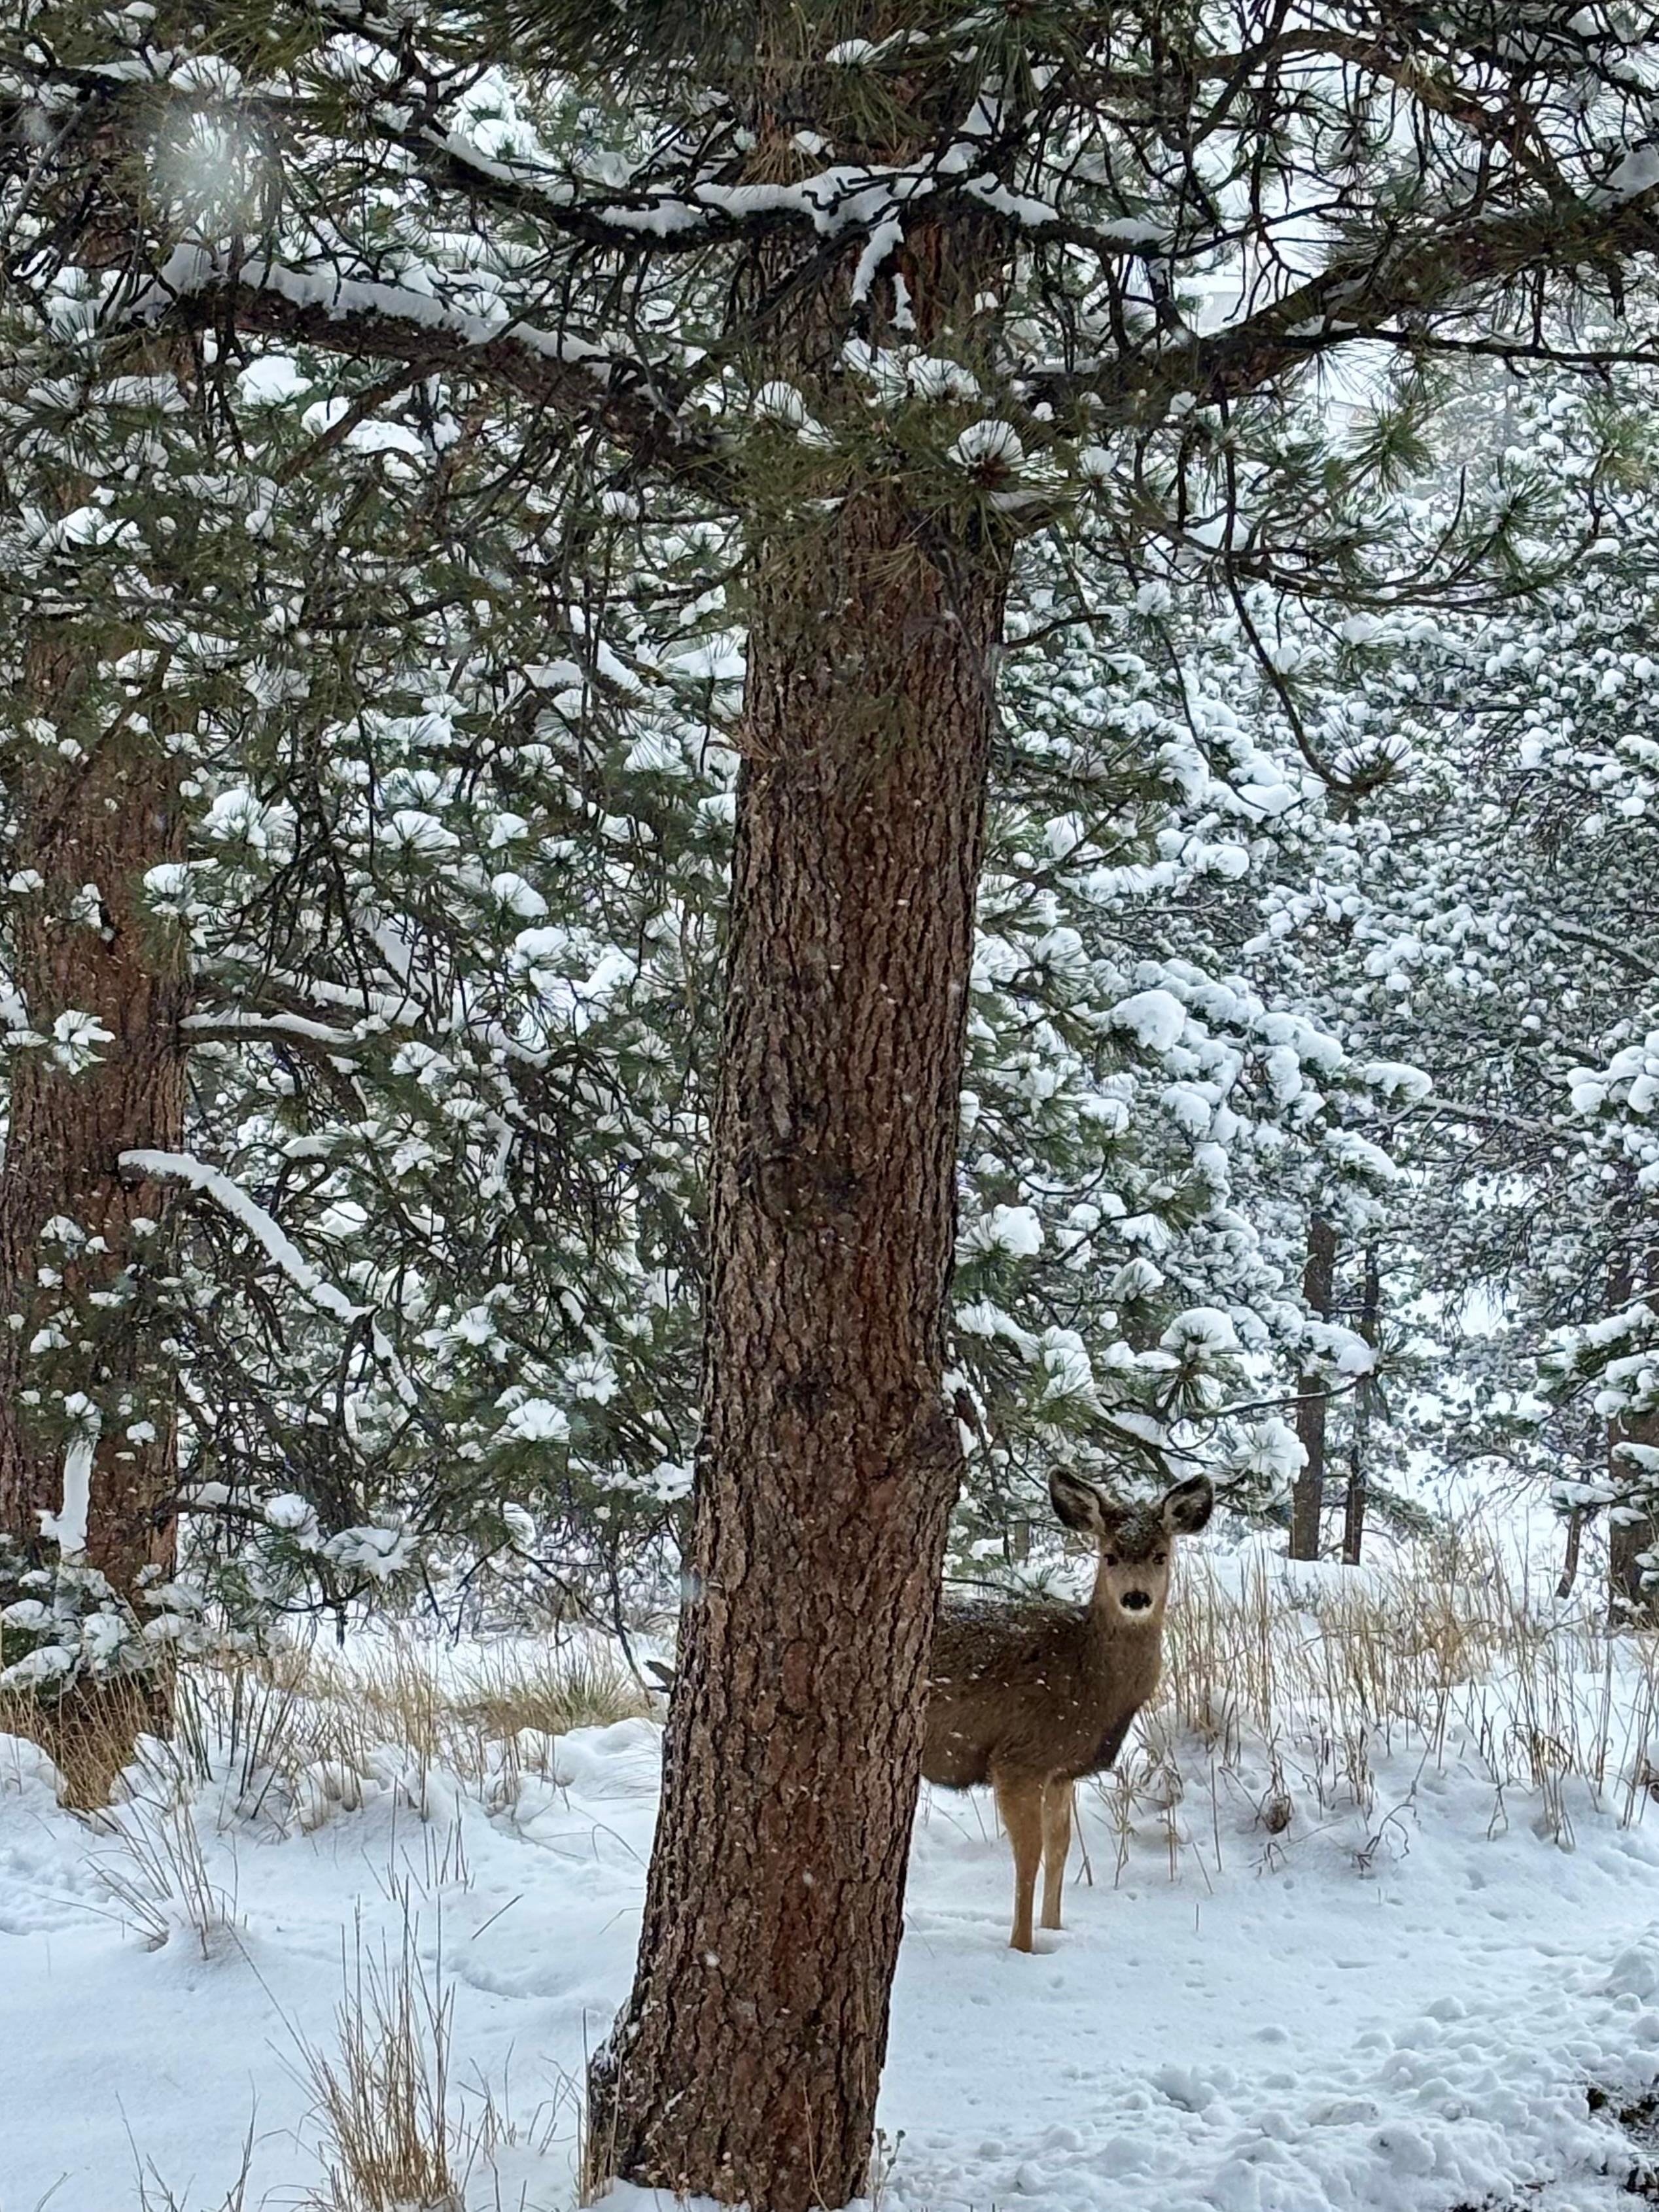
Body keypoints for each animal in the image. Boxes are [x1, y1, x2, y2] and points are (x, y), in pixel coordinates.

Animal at [921, 1465, 1214, 1952]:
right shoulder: (1018, 1756)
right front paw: (1022, 1947)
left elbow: (1062, 1846)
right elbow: (1029, 1853)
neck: (1089, 1681)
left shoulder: (1061, 1770)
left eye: (1160, 1555)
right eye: (1110, 1556)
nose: (1136, 1598)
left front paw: (1054, 1929)